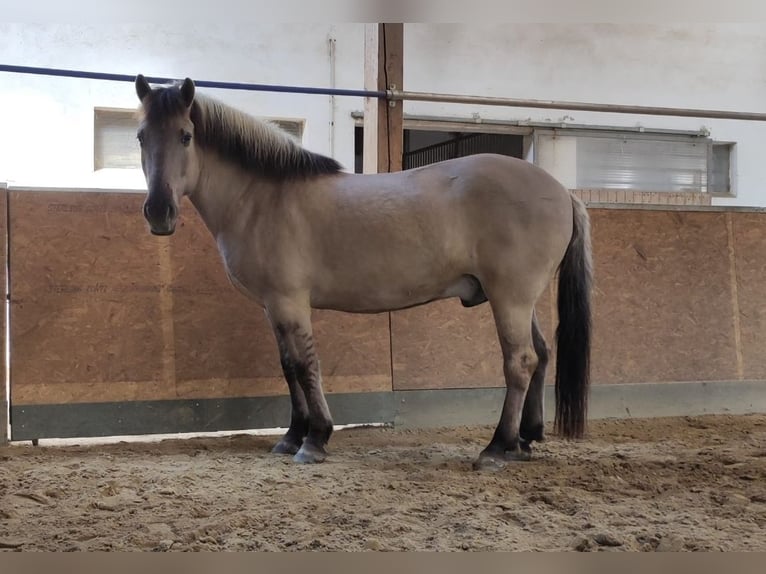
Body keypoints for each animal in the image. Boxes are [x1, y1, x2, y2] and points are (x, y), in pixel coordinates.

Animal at [134, 74, 593, 469]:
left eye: (186, 136)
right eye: (140, 136)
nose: (158, 213)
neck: (262, 198)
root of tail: (562, 192)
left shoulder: (289, 302)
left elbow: (305, 366)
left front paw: (315, 439)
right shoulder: (271, 307)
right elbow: (287, 366)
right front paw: (292, 436)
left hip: (510, 297)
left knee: (520, 361)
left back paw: (497, 448)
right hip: (519, 299)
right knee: (541, 355)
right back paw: (525, 440)